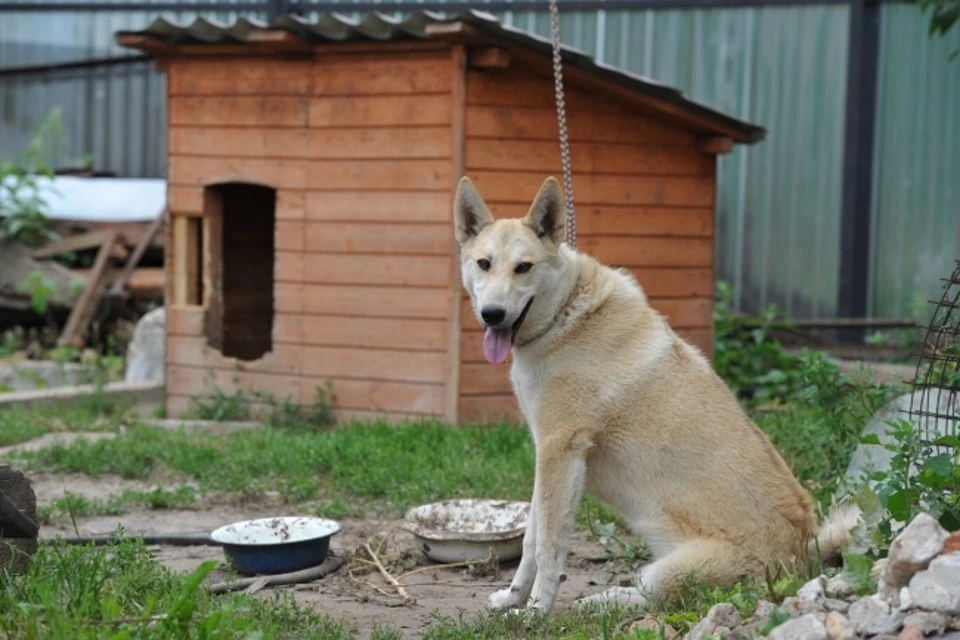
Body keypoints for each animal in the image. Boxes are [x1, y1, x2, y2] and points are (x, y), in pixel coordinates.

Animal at [454, 175, 860, 616]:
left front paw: (536, 611)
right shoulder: (550, 458)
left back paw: (597, 603)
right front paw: (513, 597)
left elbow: (549, 545)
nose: (492, 314)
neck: (565, 315)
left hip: (674, 571)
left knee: (648, 595)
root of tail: (805, 551)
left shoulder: (559, 450)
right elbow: (532, 539)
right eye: (484, 264)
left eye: (523, 267)